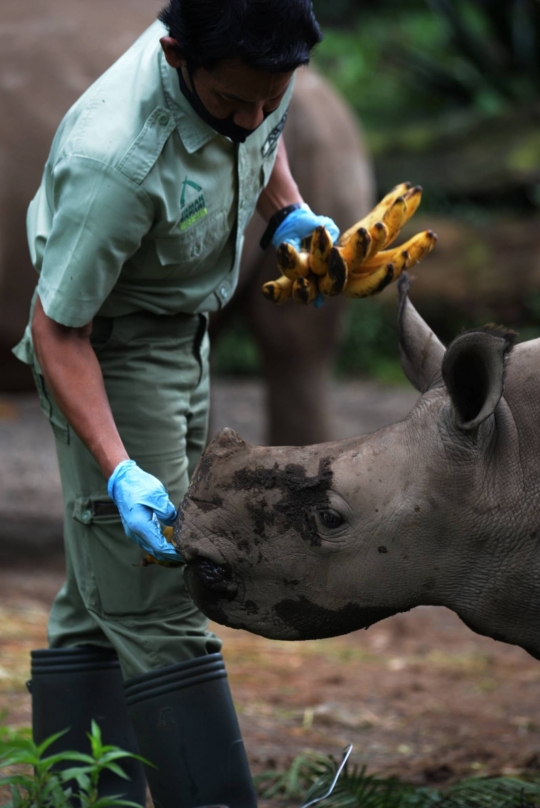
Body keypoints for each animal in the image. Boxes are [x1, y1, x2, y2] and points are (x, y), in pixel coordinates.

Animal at [0, 0, 376, 446]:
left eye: (266, 105)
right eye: (227, 97)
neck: (185, 102)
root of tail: (329, 91)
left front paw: (301, 225)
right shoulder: (102, 189)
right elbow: (61, 333)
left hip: (326, 134)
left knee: (293, 347)